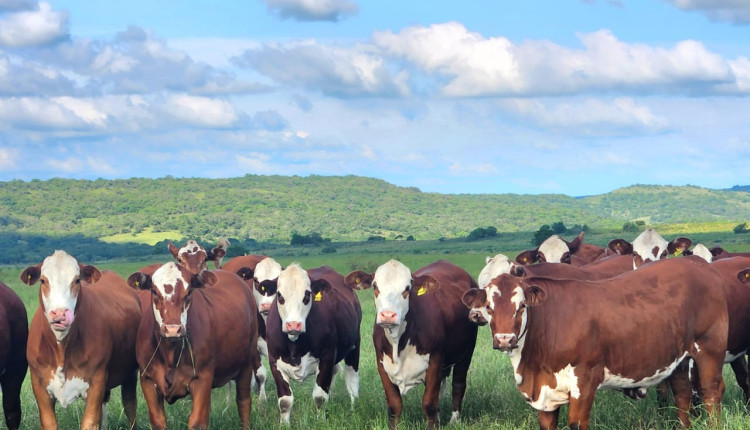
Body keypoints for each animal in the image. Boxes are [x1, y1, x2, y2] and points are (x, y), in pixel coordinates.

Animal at [21, 250, 142, 428]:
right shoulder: (39, 384)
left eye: (77, 280)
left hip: (130, 373)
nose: (59, 314)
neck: (61, 349)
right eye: (43, 280)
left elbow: (90, 422)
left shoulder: (96, 382)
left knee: (130, 405)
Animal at [128, 262, 260, 430]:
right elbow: (158, 422)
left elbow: (197, 422)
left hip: (246, 364)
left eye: (189, 292)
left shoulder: (202, 378)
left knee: (243, 402)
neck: (170, 352)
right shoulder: (147, 380)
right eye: (154, 291)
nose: (172, 329)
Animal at [266, 264, 362, 424]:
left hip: (354, 346)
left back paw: (354, 409)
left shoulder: (326, 358)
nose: (294, 324)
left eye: (307, 295)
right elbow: (285, 401)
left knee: (352, 381)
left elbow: (320, 397)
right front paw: (284, 425)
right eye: (279, 295)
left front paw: (321, 422)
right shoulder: (274, 362)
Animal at [464, 256, 728, 428]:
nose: (505, 339)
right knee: (683, 395)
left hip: (709, 349)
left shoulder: (585, 382)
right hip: (679, 358)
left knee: (711, 393)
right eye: (489, 307)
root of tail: (700, 265)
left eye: (521, 306)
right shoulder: (545, 398)